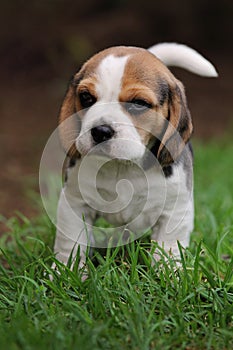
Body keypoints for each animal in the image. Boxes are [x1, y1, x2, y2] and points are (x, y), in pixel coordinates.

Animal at [53, 42, 218, 270]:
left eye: (139, 103)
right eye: (86, 98)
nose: (100, 131)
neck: (123, 166)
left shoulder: (174, 210)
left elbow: (168, 246)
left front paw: (169, 273)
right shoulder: (74, 203)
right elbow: (70, 243)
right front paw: (65, 271)